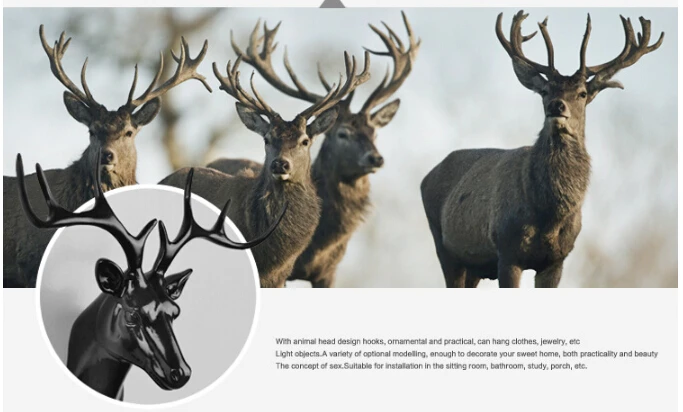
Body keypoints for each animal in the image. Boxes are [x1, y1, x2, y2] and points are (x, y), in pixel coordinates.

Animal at [420, 11, 664, 288]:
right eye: (545, 90)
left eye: (582, 93)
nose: (557, 106)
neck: (549, 215)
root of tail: (426, 177)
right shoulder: (507, 250)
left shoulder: (557, 259)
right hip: (445, 248)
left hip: (473, 266)